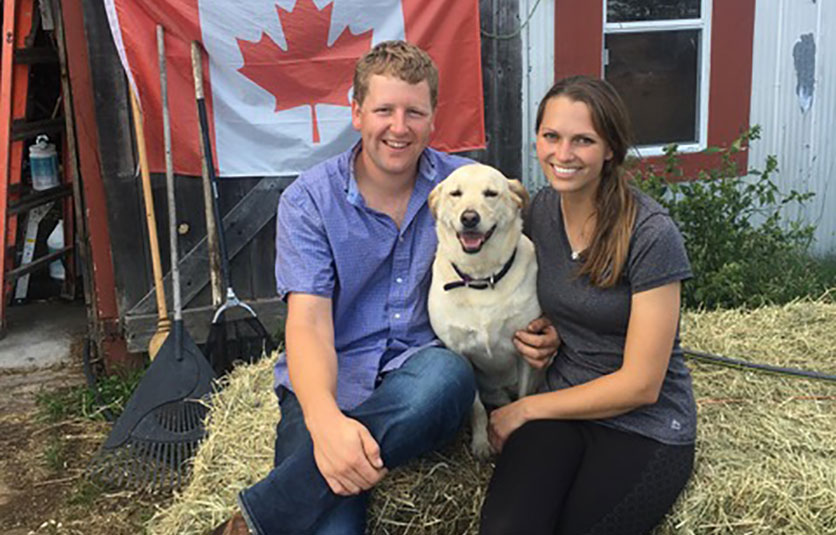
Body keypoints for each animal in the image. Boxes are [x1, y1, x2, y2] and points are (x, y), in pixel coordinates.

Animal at [428, 165, 544, 458]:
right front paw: (481, 442)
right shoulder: (460, 353)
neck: (482, 279)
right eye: (455, 193)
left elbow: (523, 399)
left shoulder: (525, 348)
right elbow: (477, 408)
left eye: (491, 193)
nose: (469, 218)